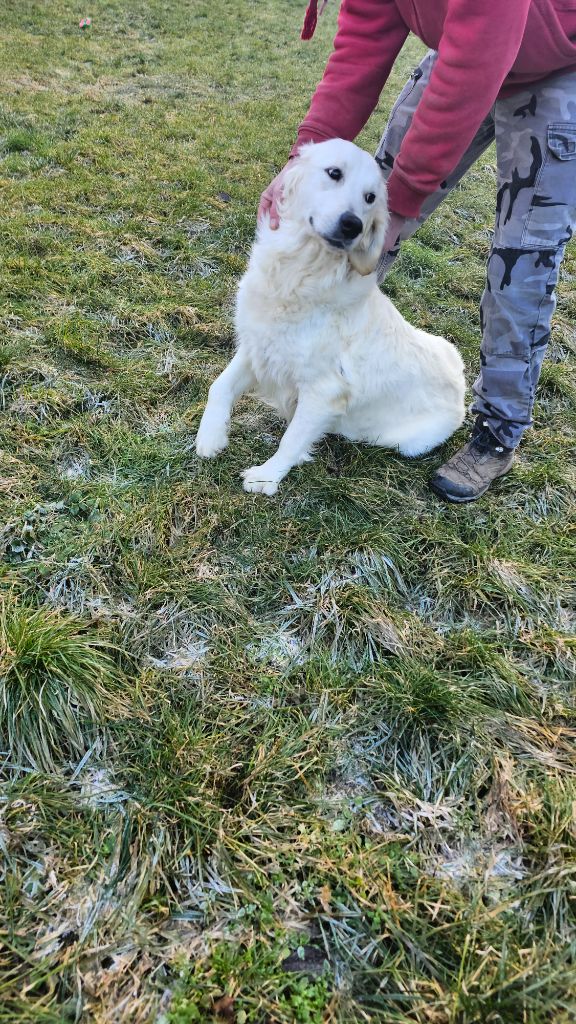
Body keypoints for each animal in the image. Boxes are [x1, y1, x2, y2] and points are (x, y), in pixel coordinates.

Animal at [194, 137, 463, 495]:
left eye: (370, 198)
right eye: (334, 173)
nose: (352, 225)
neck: (301, 273)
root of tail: (461, 384)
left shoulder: (323, 391)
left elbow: (292, 439)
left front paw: (267, 477)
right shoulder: (258, 347)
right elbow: (219, 386)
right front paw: (210, 436)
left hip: (405, 441)